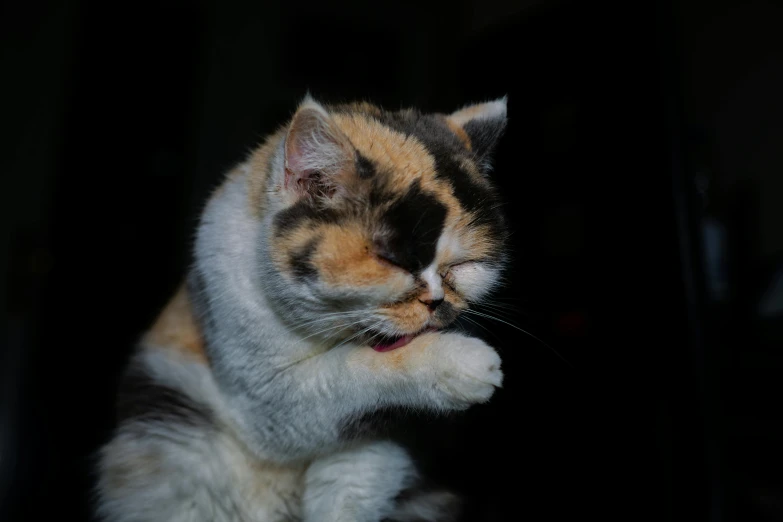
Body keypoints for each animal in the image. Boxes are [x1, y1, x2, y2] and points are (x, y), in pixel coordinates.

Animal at [96, 95, 508, 516]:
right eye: (392, 261)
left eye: (463, 265)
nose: (437, 301)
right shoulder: (265, 398)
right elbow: (348, 372)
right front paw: (461, 363)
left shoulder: (379, 454)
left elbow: (351, 487)